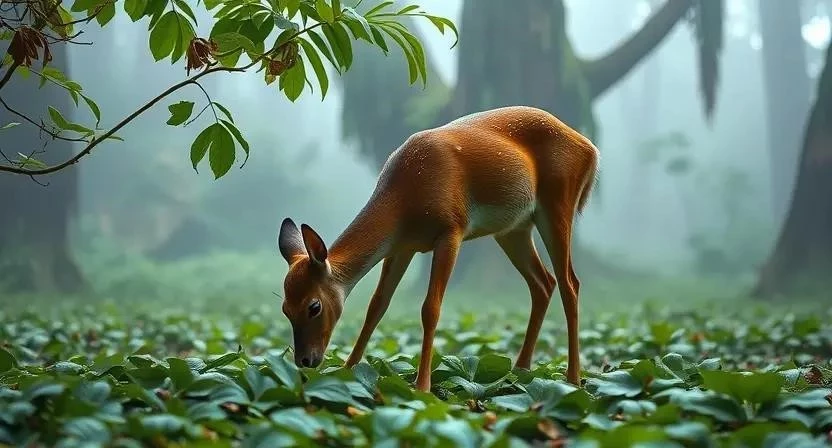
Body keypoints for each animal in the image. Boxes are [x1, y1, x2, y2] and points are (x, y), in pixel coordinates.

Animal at [276, 105, 599, 392]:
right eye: (285, 308)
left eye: (314, 307)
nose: (306, 360)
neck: (404, 200)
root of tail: (590, 149)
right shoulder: (401, 247)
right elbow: (377, 305)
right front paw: (346, 369)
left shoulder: (450, 231)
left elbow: (430, 308)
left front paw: (422, 386)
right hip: (514, 229)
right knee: (544, 283)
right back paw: (520, 369)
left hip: (557, 203)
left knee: (570, 283)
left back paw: (573, 379)